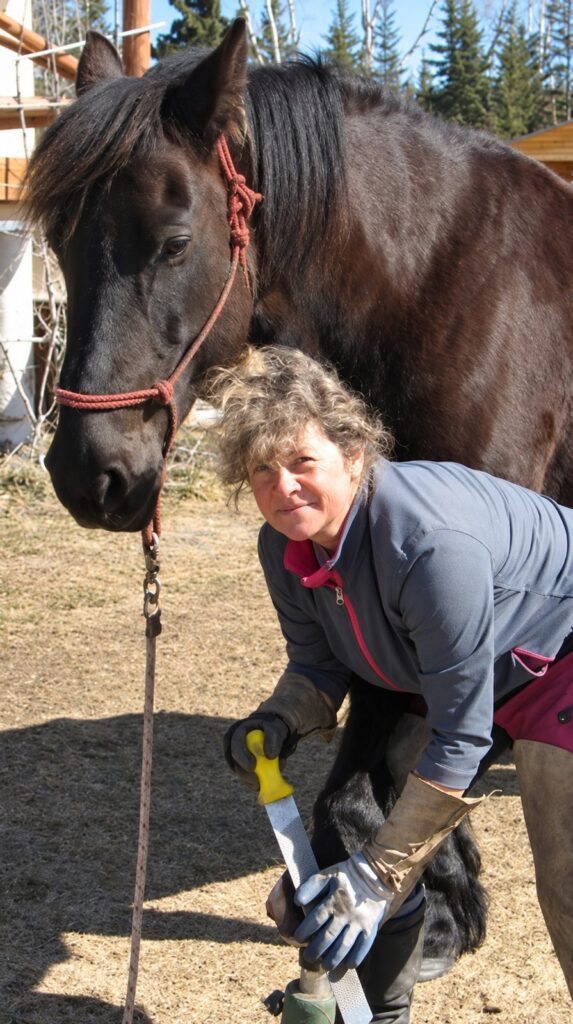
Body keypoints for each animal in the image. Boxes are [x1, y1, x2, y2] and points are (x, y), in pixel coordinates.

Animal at [23, 17, 573, 1010]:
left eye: (173, 240)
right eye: (58, 236)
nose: (92, 475)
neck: (448, 286)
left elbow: (392, 783)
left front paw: (415, 918)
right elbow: (371, 787)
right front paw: (433, 908)